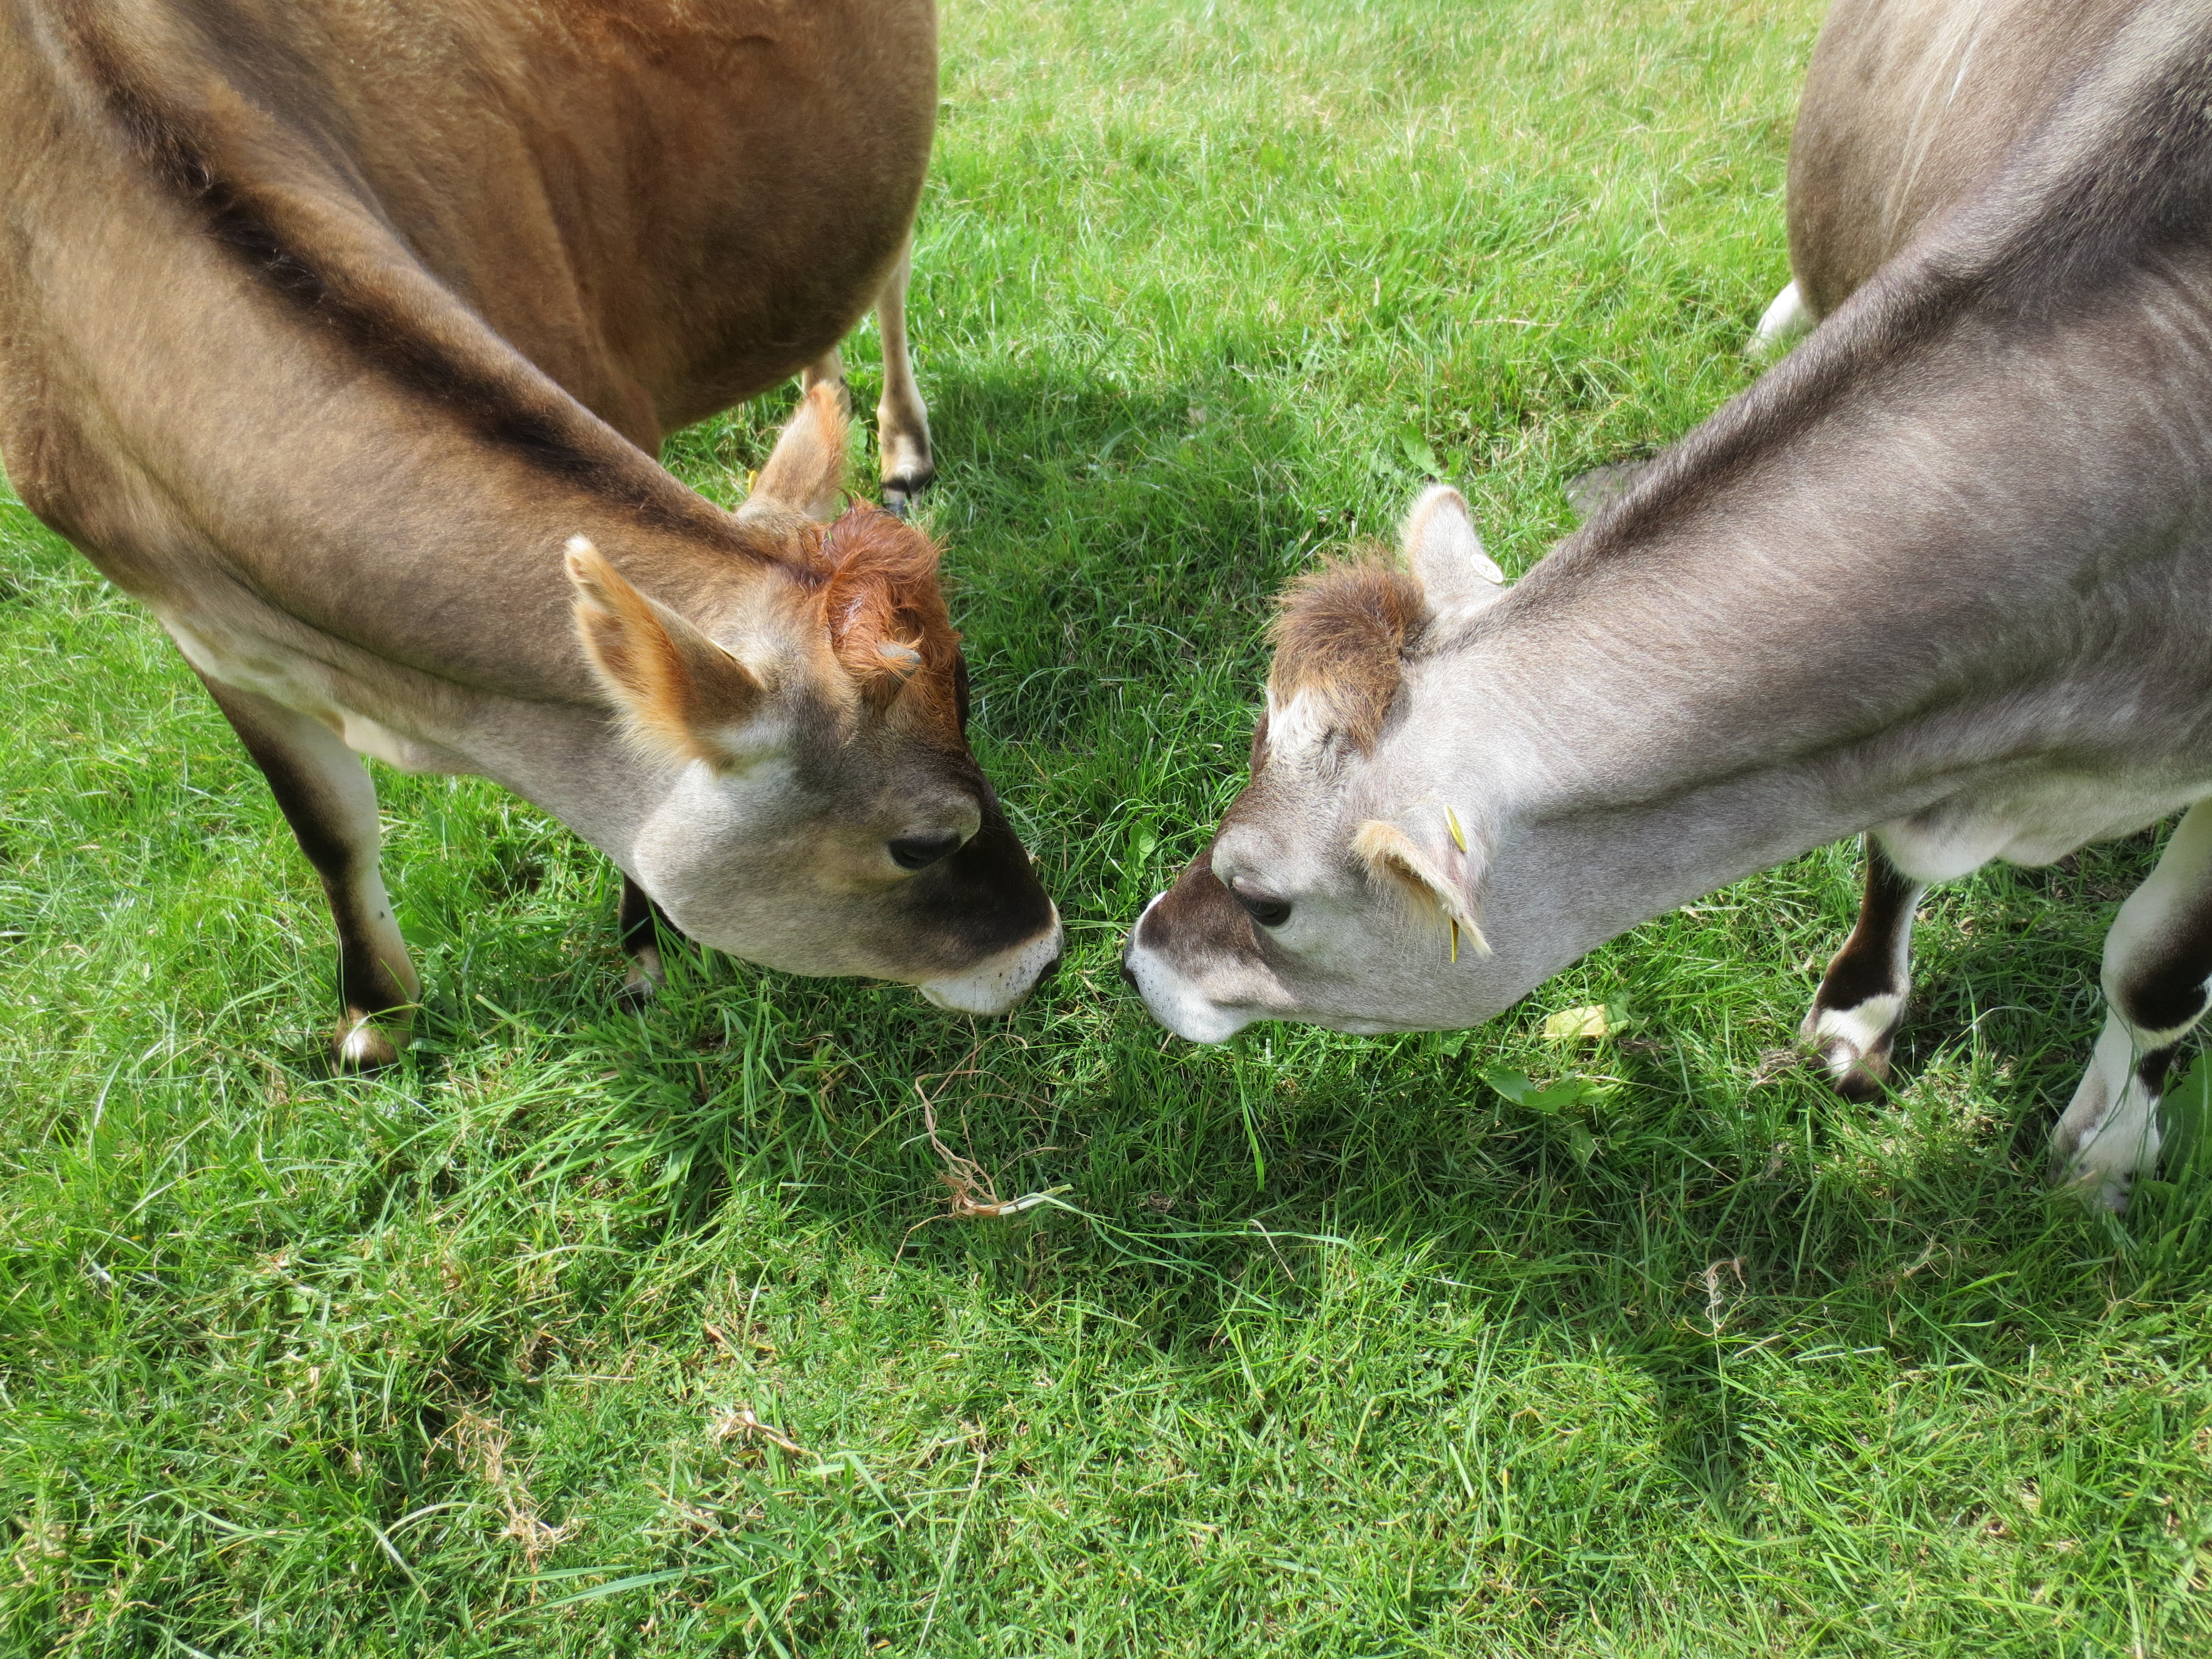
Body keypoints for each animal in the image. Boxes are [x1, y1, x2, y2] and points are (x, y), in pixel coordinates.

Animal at [0, 0, 1062, 1067]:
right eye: (922, 843)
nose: (1047, 950)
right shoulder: (200, 627)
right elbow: (330, 827)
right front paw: (375, 1019)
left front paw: (644, 955)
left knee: (887, 269)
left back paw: (903, 446)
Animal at [1122, 0, 2212, 1209]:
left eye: (1265, 899)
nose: (1139, 950)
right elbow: (1894, 852)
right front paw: (1859, 1018)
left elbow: (2157, 973)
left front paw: (2112, 1158)